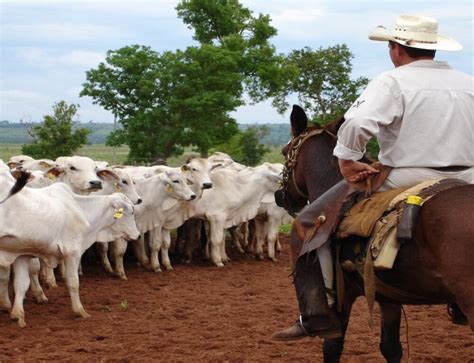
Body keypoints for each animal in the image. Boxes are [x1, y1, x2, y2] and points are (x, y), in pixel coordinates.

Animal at [274, 105, 474, 363]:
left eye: (284, 151)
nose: (281, 196)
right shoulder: (388, 298)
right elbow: (390, 347)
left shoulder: (342, 300)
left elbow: (332, 348)